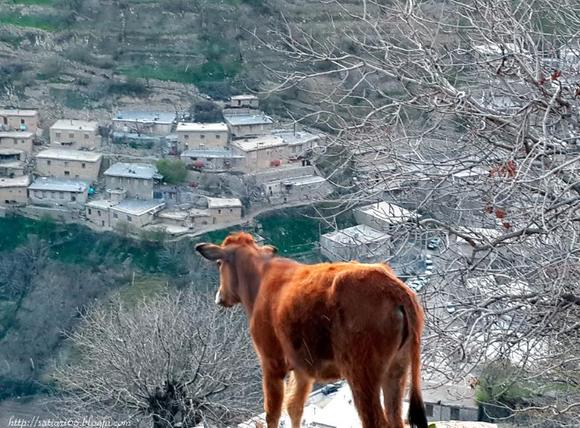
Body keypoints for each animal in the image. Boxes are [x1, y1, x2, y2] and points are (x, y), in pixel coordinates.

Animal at [197, 232, 428, 428]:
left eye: (219, 263)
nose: (219, 296)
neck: (260, 280)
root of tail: (393, 286)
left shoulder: (271, 362)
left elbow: (272, 413)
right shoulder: (302, 369)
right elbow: (294, 406)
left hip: (362, 373)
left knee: (376, 421)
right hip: (397, 369)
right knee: (396, 418)